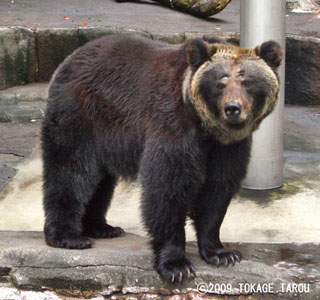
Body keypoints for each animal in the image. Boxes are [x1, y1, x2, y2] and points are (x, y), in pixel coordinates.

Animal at [40, 34, 282, 282]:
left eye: (247, 81)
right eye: (220, 82)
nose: (232, 108)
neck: (206, 129)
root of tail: (68, 60)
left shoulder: (228, 148)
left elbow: (217, 190)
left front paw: (222, 253)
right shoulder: (173, 124)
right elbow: (168, 188)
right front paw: (176, 265)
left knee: (101, 181)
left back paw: (101, 227)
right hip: (81, 113)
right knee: (71, 170)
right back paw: (68, 236)